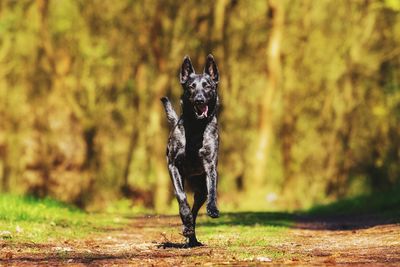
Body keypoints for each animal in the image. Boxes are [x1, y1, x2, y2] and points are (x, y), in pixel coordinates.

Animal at [160, 55, 222, 249]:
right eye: (191, 87)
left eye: (207, 86)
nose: (199, 100)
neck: (196, 128)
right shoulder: (173, 166)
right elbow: (181, 197)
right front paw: (185, 217)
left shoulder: (210, 166)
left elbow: (213, 189)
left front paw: (213, 208)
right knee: (187, 207)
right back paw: (187, 228)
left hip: (200, 190)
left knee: (196, 210)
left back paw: (192, 237)